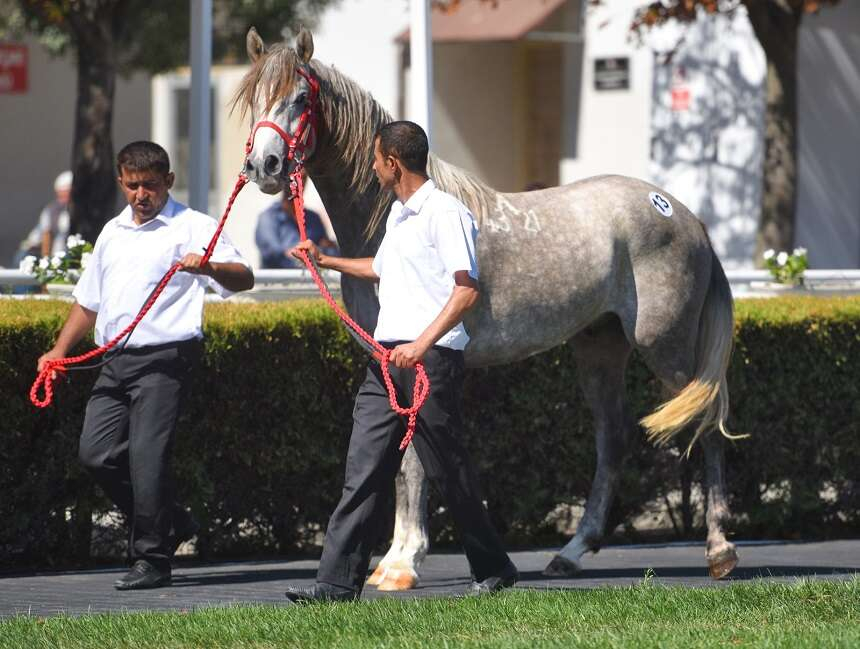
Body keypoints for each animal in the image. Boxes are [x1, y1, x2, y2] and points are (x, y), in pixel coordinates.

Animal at [239, 29, 744, 588]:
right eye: (252, 101)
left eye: (299, 100)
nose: (263, 168)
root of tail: (688, 217)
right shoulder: (385, 360)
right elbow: (398, 457)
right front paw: (394, 558)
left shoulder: (414, 357)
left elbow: (412, 461)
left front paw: (400, 562)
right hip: (600, 348)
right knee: (613, 439)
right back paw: (571, 553)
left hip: (665, 346)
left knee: (707, 420)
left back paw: (720, 551)